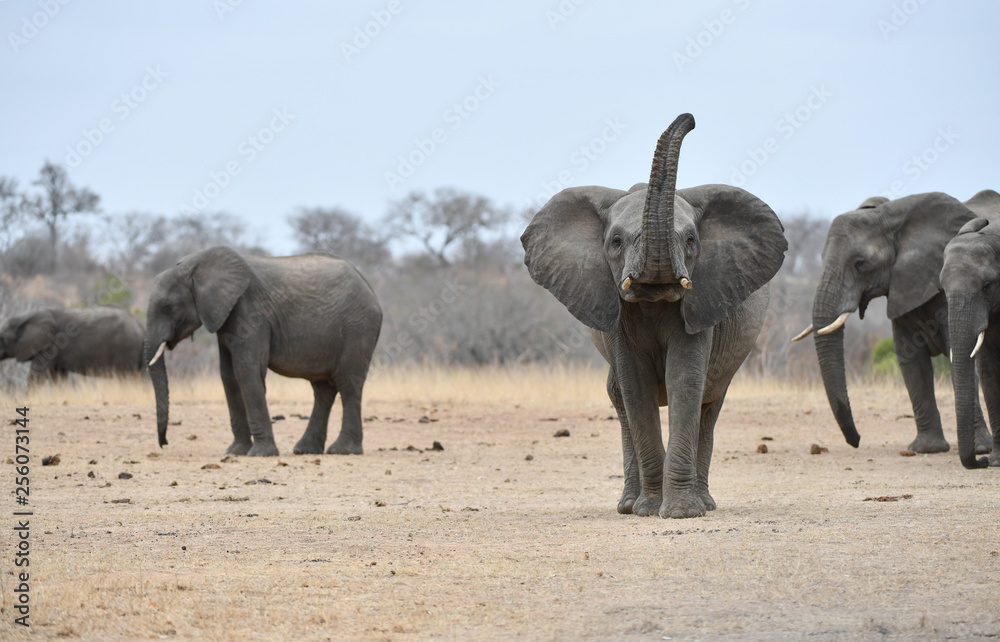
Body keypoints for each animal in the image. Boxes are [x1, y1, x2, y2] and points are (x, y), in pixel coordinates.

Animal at [0, 306, 144, 381]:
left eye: (2, 338)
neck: (25, 317)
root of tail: (140, 325)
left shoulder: (50, 347)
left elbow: (36, 376)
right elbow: (59, 378)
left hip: (126, 348)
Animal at [144, 246, 382, 457]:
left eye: (167, 307)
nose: (164, 443)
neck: (196, 264)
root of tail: (369, 288)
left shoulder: (251, 312)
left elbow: (246, 371)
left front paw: (260, 454)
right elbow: (228, 376)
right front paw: (236, 452)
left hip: (358, 328)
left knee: (348, 383)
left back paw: (343, 450)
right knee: (323, 389)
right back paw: (305, 449)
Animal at [521, 113, 787, 518]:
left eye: (691, 241)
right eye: (615, 242)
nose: (689, 119)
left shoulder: (702, 304)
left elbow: (685, 379)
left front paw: (681, 513)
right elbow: (636, 386)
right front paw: (649, 510)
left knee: (709, 403)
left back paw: (704, 504)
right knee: (620, 399)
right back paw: (629, 505)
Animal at [792, 190, 1000, 454]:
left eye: (860, 263)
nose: (857, 441)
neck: (892, 216)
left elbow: (960, 354)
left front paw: (981, 450)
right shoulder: (902, 289)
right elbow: (910, 359)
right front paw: (926, 449)